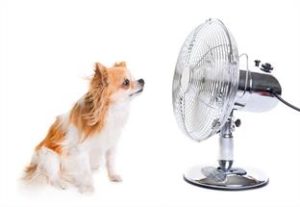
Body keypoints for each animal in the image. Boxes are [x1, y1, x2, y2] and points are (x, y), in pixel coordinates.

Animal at [22, 61, 144, 192]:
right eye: (126, 82)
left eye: (134, 77)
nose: (142, 80)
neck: (109, 111)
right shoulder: (81, 151)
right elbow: (85, 171)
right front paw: (88, 187)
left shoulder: (111, 145)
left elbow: (110, 163)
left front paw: (113, 176)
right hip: (49, 156)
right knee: (52, 177)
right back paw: (61, 183)